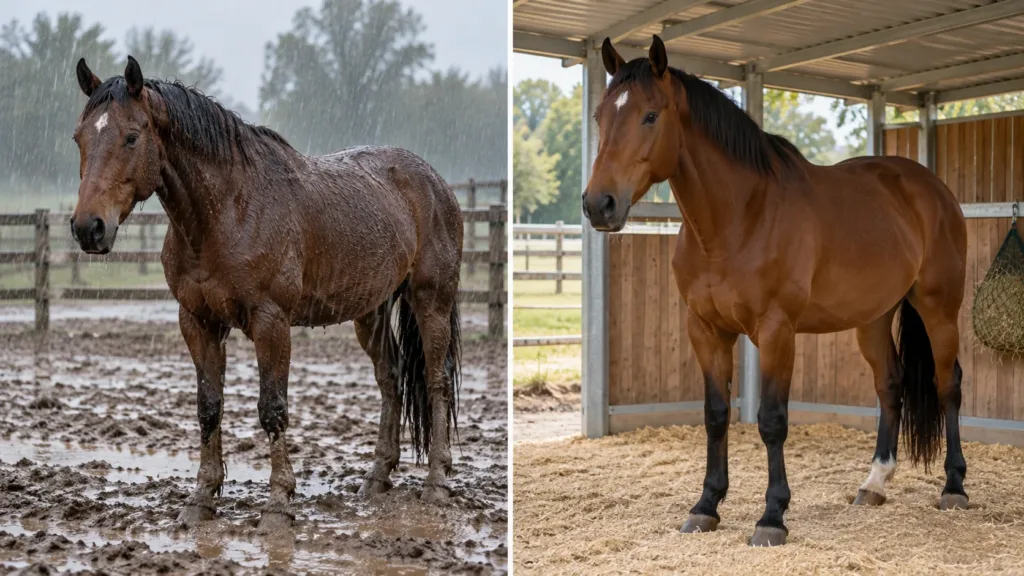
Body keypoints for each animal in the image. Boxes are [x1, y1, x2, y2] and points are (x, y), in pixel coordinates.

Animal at [71, 56, 463, 532]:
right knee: (391, 378)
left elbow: (272, 408)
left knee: (436, 379)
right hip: (370, 311)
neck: (228, 211)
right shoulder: (197, 322)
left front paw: (278, 503)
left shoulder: (271, 322)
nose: (88, 228)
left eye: (131, 136)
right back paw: (377, 477)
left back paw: (437, 481)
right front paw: (201, 499)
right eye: (79, 137)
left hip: (431, 300)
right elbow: (208, 407)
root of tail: (435, 181)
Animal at [583, 36, 968, 547]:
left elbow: (772, 420)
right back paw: (874, 484)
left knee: (948, 385)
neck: (739, 218)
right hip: (873, 318)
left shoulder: (776, 332)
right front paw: (706, 506)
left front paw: (772, 516)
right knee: (891, 384)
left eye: (650, 115)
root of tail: (932, 188)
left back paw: (954, 487)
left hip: (939, 309)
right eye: (599, 116)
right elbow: (715, 414)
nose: (598, 204)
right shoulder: (705, 330)